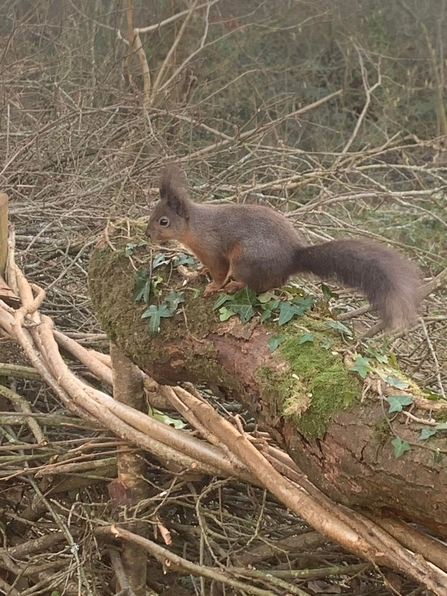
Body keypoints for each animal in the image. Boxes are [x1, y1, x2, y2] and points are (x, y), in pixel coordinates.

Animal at [147, 165, 424, 328]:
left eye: (164, 221)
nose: (148, 233)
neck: (194, 228)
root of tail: (293, 257)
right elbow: (206, 268)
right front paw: (198, 271)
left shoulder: (214, 250)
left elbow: (219, 270)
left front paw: (213, 286)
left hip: (246, 259)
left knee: (263, 285)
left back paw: (236, 285)